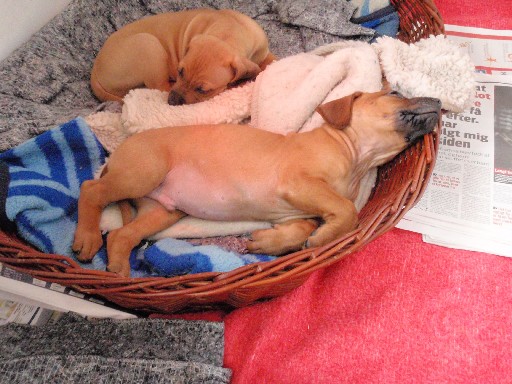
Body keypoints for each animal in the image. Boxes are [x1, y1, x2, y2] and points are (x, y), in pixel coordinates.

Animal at [72, 90, 440, 276]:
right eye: (395, 92)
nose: (438, 102)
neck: (354, 154)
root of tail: (116, 153)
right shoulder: (299, 183)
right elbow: (346, 209)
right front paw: (324, 238)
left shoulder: (301, 209)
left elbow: (304, 226)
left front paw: (271, 243)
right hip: (142, 173)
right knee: (91, 191)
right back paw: (88, 238)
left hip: (162, 211)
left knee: (120, 236)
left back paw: (119, 270)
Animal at [92, 8, 276, 104]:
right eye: (180, 71)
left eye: (202, 89)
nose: (172, 101)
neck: (228, 32)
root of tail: (94, 70)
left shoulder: (263, 51)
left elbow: (271, 60)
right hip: (148, 44)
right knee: (160, 86)